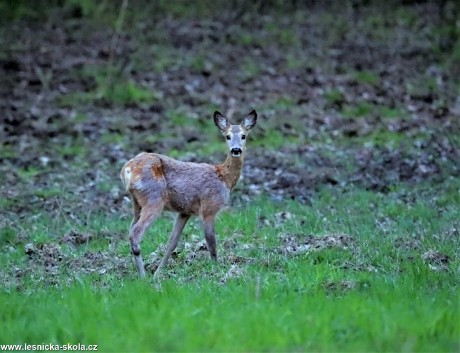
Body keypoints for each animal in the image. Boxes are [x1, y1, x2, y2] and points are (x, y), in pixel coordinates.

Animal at [120, 108, 256, 276]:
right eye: (227, 136)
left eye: (244, 135)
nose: (236, 150)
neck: (224, 178)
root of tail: (127, 169)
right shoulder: (209, 207)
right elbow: (211, 242)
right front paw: (216, 269)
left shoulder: (185, 211)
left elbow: (172, 242)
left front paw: (158, 273)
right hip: (154, 198)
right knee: (135, 233)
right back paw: (143, 275)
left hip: (136, 202)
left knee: (131, 229)